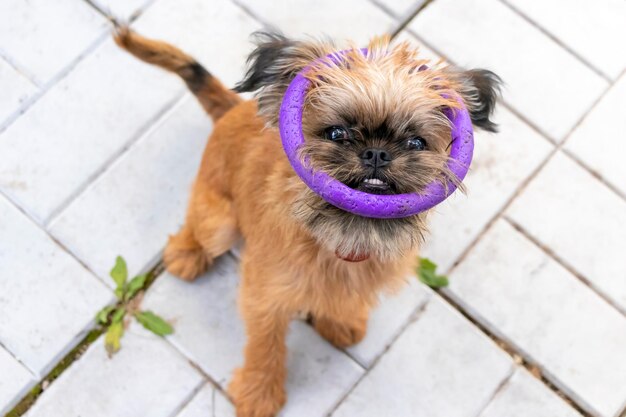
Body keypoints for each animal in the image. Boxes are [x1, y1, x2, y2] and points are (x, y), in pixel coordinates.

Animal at [114, 28, 500, 416]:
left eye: (416, 142)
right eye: (336, 133)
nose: (377, 153)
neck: (343, 238)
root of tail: (234, 109)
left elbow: (344, 301)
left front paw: (341, 322)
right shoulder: (265, 296)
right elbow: (265, 345)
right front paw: (259, 393)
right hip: (219, 224)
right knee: (200, 229)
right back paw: (187, 253)